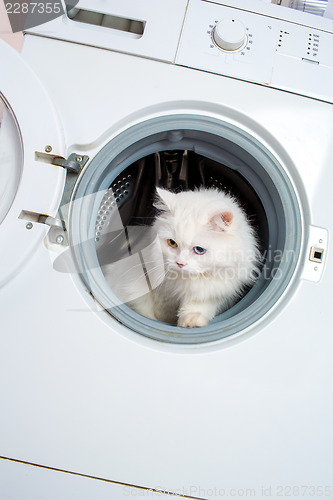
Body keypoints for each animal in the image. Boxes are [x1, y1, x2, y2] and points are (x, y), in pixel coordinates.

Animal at [103, 188, 260, 328]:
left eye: (199, 250)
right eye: (172, 243)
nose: (180, 263)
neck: (187, 280)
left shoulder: (214, 292)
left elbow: (197, 308)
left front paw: (191, 323)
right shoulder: (161, 294)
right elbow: (161, 313)